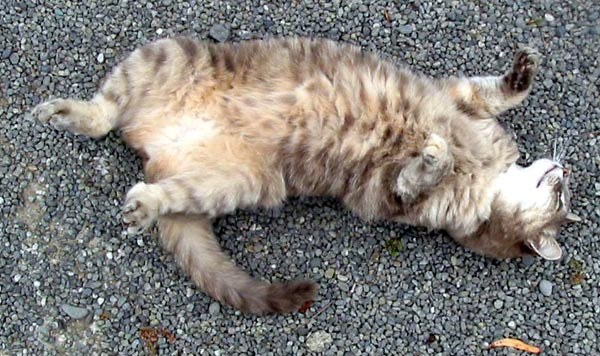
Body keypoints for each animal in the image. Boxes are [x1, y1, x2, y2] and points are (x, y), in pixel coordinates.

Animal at [29, 36, 580, 314]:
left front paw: (434, 155)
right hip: (167, 54)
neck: (485, 176)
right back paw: (67, 113)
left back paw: (144, 204)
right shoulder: (461, 99)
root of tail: (154, 143)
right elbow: (497, 93)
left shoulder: (396, 195)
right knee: (104, 114)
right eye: (561, 194)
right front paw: (521, 73)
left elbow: (418, 173)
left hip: (238, 182)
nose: (565, 167)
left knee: (159, 187)